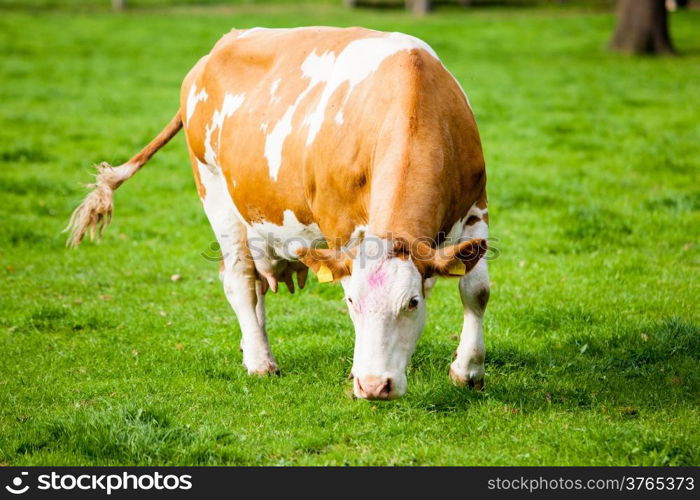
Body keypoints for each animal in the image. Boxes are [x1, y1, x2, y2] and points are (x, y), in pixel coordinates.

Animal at [68, 27, 490, 402]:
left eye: (411, 303)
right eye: (351, 302)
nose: (374, 386)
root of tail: (217, 50)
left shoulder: (476, 208)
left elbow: (476, 290)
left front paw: (467, 370)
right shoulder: (341, 230)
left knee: (254, 285)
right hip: (215, 192)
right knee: (239, 278)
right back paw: (261, 361)